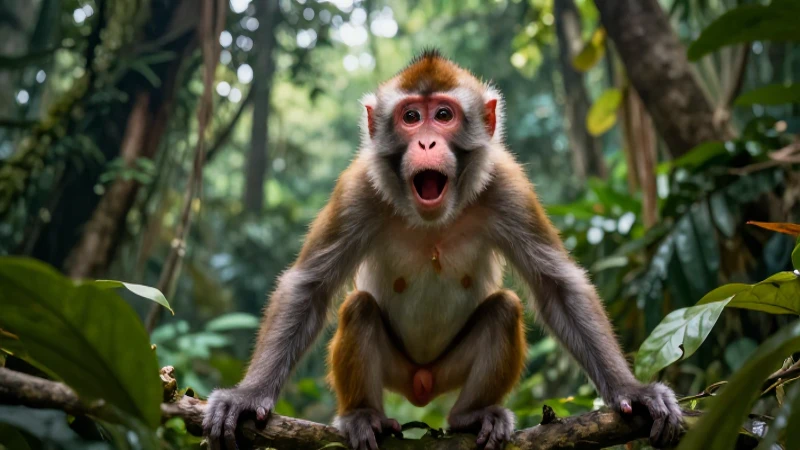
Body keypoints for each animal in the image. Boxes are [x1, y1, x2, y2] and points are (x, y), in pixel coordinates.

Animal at [203, 49, 683, 450]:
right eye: (412, 117)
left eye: (445, 115)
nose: (428, 142)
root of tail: (422, 384)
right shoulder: (357, 188)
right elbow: (310, 287)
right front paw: (247, 396)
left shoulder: (508, 186)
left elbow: (556, 285)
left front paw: (631, 391)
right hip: (398, 370)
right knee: (358, 309)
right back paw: (363, 416)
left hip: (448, 370)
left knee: (505, 309)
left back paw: (471, 415)